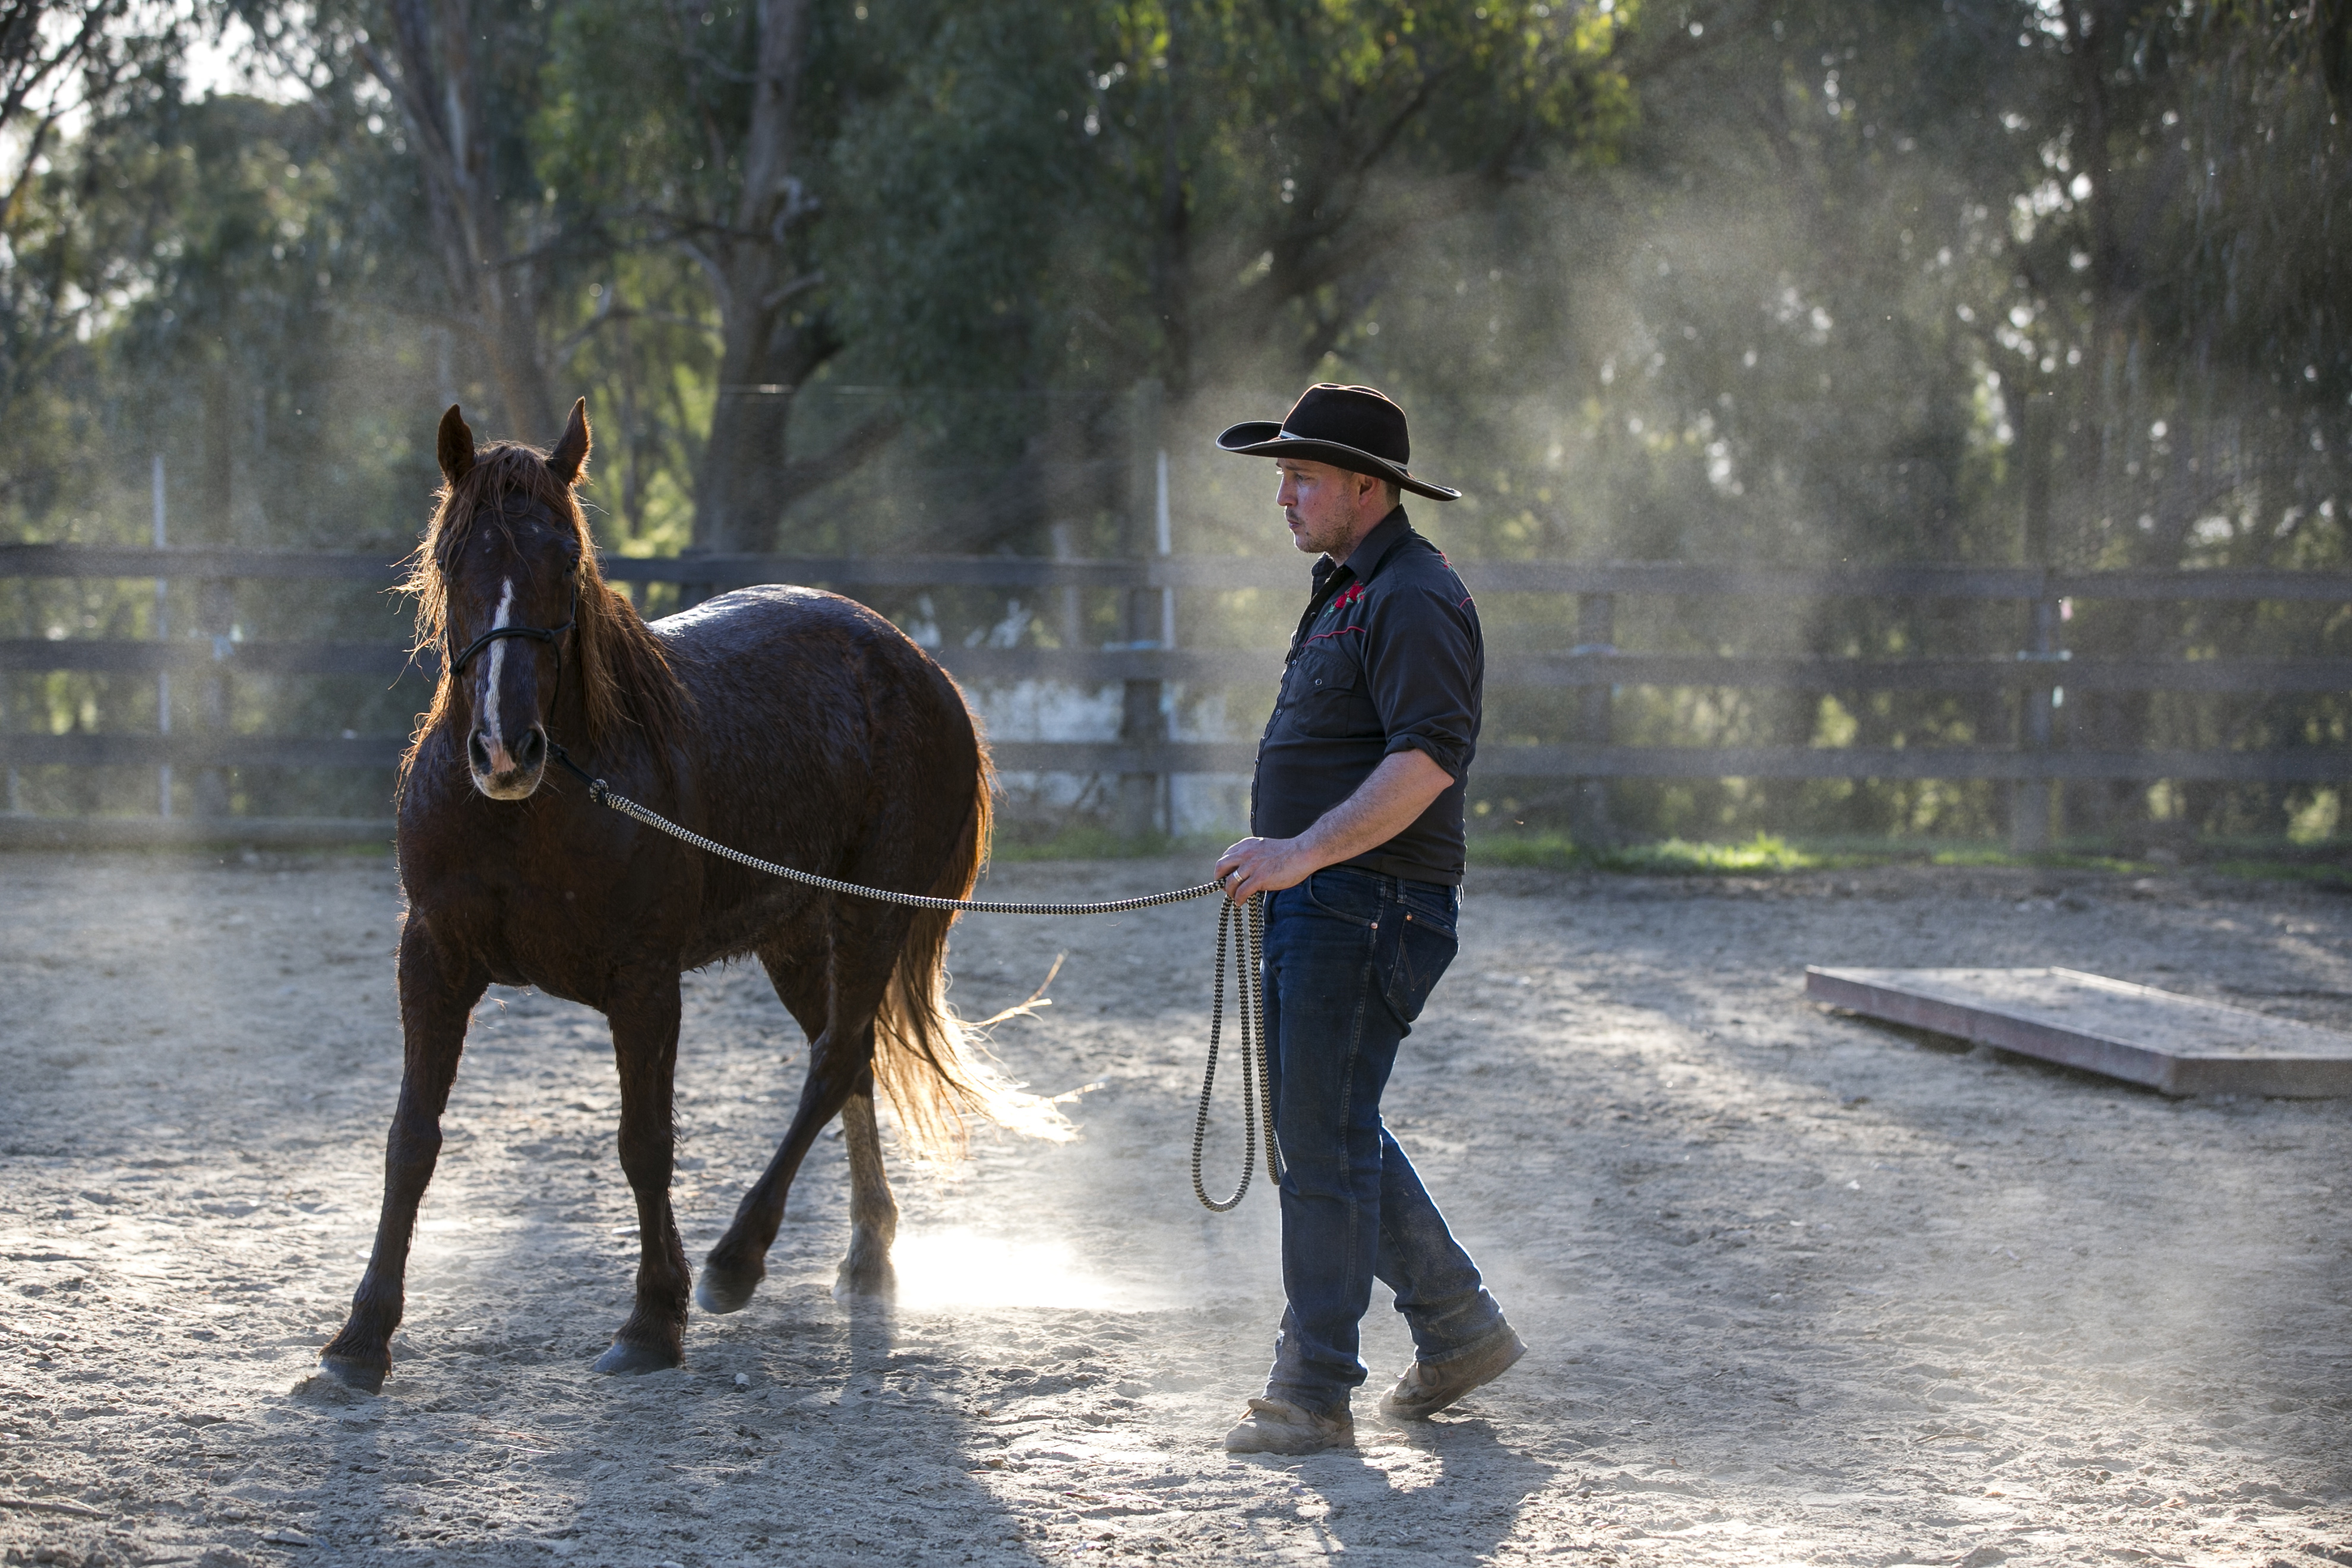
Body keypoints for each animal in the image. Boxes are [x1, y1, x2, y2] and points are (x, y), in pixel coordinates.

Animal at [319, 400, 1063, 1392]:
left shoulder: (644, 981)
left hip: (871, 914)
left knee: (833, 1063)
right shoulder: (433, 958)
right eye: (450, 558)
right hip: (800, 939)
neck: (540, 808)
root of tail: (918, 668)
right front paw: (361, 1338)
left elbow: (645, 1143)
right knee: (852, 1059)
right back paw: (866, 1255)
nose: (506, 748)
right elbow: (412, 1141)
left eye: (567, 558)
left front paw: (653, 1318)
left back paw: (737, 1262)